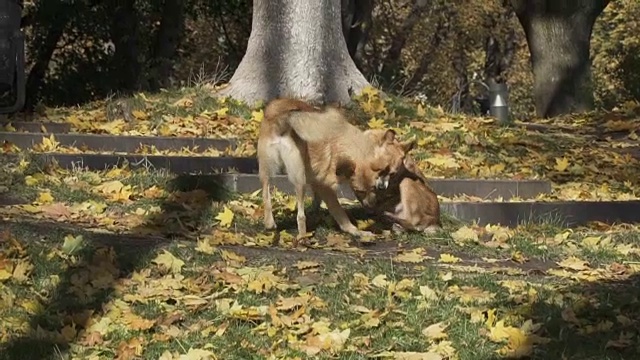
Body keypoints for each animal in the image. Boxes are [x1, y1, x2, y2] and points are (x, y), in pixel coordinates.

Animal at [258, 98, 412, 242]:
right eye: (360, 191)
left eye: (392, 173)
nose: (371, 208)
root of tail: (282, 118)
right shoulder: (326, 187)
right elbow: (340, 213)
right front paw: (354, 231)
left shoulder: (316, 181)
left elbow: (316, 201)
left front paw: (316, 214)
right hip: (299, 178)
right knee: (300, 215)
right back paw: (303, 236)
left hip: (266, 170)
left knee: (266, 195)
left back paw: (270, 223)